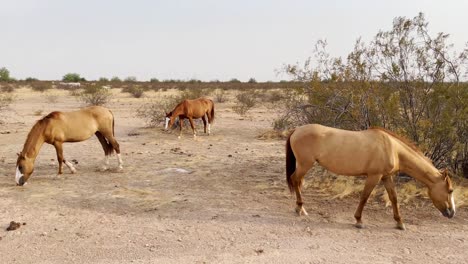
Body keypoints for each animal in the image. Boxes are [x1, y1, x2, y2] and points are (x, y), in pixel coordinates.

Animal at [288, 124, 456, 229]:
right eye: (450, 190)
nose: (452, 213)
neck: (393, 148)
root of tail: (296, 130)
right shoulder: (374, 176)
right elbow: (364, 197)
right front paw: (359, 220)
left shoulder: (386, 177)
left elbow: (394, 198)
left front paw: (400, 223)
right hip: (305, 164)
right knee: (295, 180)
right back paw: (300, 209)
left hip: (304, 165)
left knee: (298, 182)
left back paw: (298, 208)